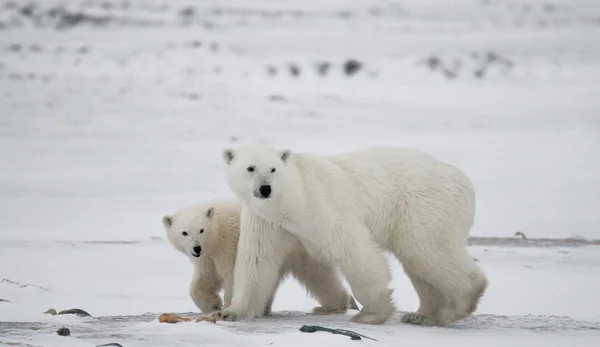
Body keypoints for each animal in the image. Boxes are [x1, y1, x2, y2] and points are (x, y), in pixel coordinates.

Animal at [162, 201, 358, 318]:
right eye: (184, 232)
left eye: (201, 230)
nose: (196, 248)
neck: (217, 236)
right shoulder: (207, 258)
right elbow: (203, 280)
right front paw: (213, 304)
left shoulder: (230, 245)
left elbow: (232, 275)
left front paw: (225, 307)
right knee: (317, 275)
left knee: (316, 275)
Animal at [214, 143, 488, 326]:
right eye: (250, 168)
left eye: (273, 169)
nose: (265, 189)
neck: (293, 201)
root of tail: (466, 182)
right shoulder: (267, 222)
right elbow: (257, 261)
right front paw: (230, 312)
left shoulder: (322, 206)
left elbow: (354, 251)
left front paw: (372, 313)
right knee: (419, 263)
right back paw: (421, 314)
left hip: (426, 208)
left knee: (428, 251)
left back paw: (457, 306)